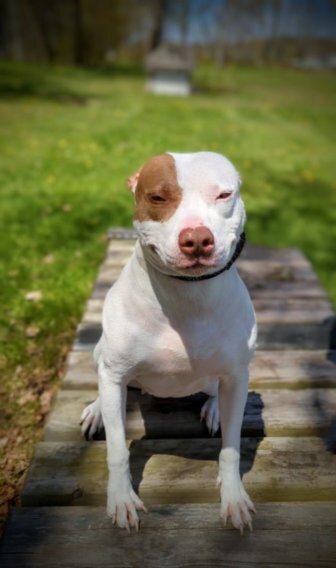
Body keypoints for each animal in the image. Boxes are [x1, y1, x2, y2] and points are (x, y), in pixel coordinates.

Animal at [80, 151, 256, 532]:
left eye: (224, 195)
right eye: (158, 197)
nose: (197, 238)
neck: (187, 295)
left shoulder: (237, 375)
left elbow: (231, 448)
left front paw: (233, 497)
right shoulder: (115, 371)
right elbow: (117, 449)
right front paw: (121, 499)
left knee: (215, 390)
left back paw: (214, 407)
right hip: (103, 358)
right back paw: (98, 409)